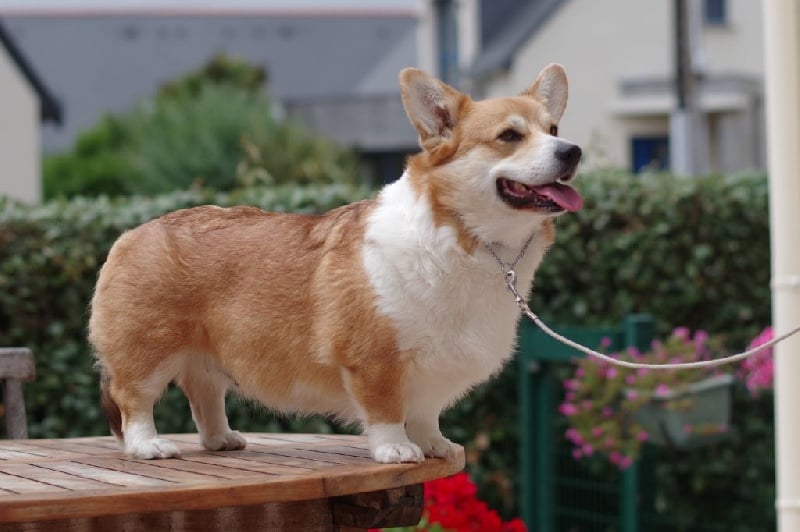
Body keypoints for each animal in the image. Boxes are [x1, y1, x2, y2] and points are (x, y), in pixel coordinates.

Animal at [89, 63, 580, 462]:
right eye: (509, 136)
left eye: (554, 128)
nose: (571, 151)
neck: (471, 241)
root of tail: (132, 234)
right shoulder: (375, 360)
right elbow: (387, 411)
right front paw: (396, 450)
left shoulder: (431, 370)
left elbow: (425, 414)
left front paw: (434, 445)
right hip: (147, 351)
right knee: (133, 400)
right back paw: (148, 446)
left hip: (206, 359)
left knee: (204, 396)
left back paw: (222, 440)